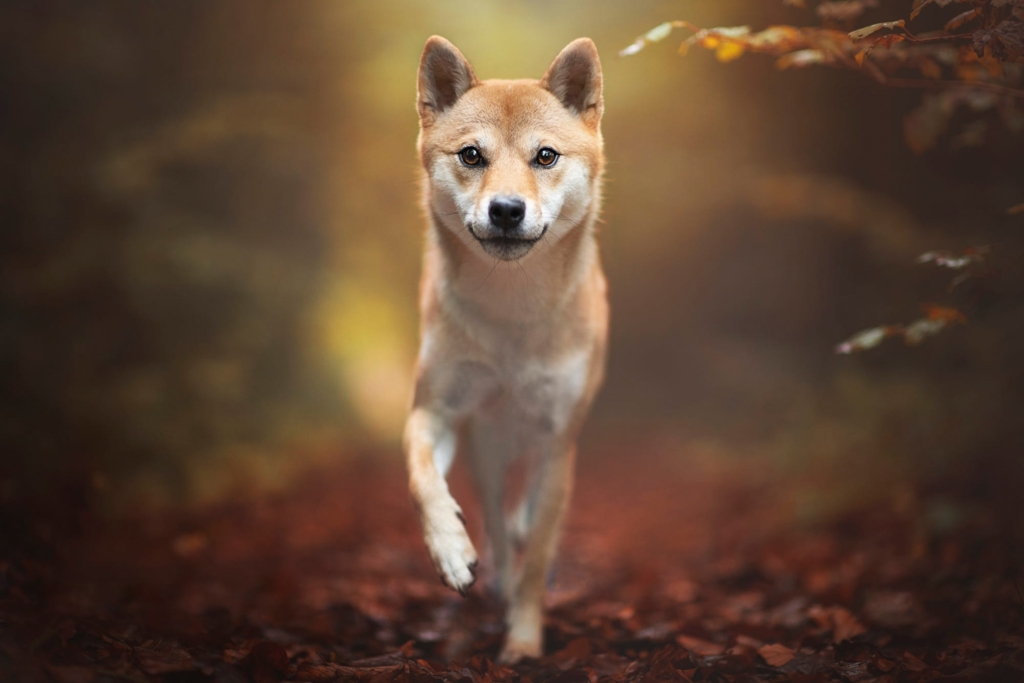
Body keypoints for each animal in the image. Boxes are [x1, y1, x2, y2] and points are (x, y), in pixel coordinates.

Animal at [401, 36, 606, 663]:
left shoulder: (560, 436)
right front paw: (451, 551)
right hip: (487, 444)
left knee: (529, 503)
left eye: (545, 156)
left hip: (547, 442)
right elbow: (421, 477)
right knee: (493, 511)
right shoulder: (437, 410)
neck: (513, 314)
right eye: (471, 156)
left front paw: (523, 639)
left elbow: (539, 554)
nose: (507, 210)